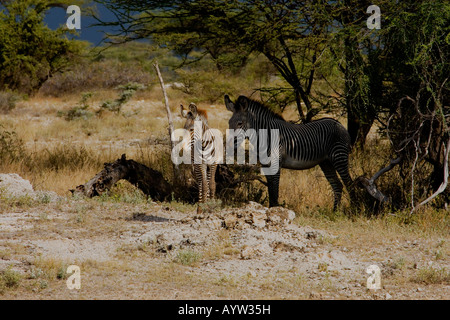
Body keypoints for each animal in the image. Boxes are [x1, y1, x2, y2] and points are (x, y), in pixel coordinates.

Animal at [225, 95, 356, 210]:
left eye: (240, 123)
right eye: (229, 123)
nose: (229, 144)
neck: (266, 135)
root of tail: (339, 124)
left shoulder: (276, 164)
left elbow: (274, 191)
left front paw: (275, 211)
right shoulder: (266, 165)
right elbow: (270, 190)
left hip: (339, 157)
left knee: (349, 183)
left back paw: (354, 211)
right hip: (326, 162)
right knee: (337, 185)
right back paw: (335, 211)